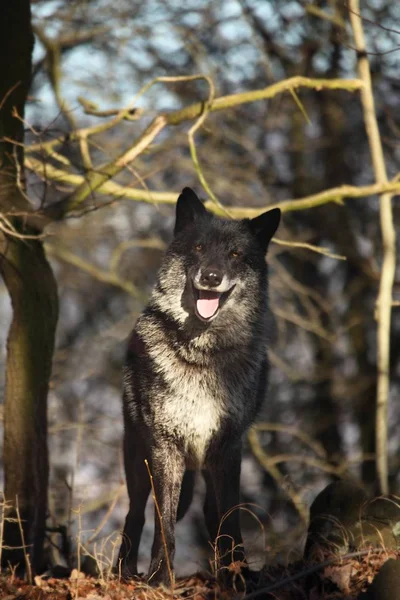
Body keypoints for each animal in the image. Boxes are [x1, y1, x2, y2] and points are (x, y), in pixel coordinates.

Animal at [118, 188, 282, 584]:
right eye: (198, 247)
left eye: (235, 254)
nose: (211, 276)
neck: (203, 356)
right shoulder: (165, 449)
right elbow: (164, 524)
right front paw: (160, 579)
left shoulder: (229, 449)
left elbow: (230, 519)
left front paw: (238, 576)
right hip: (138, 461)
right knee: (135, 513)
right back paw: (124, 573)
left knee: (211, 512)